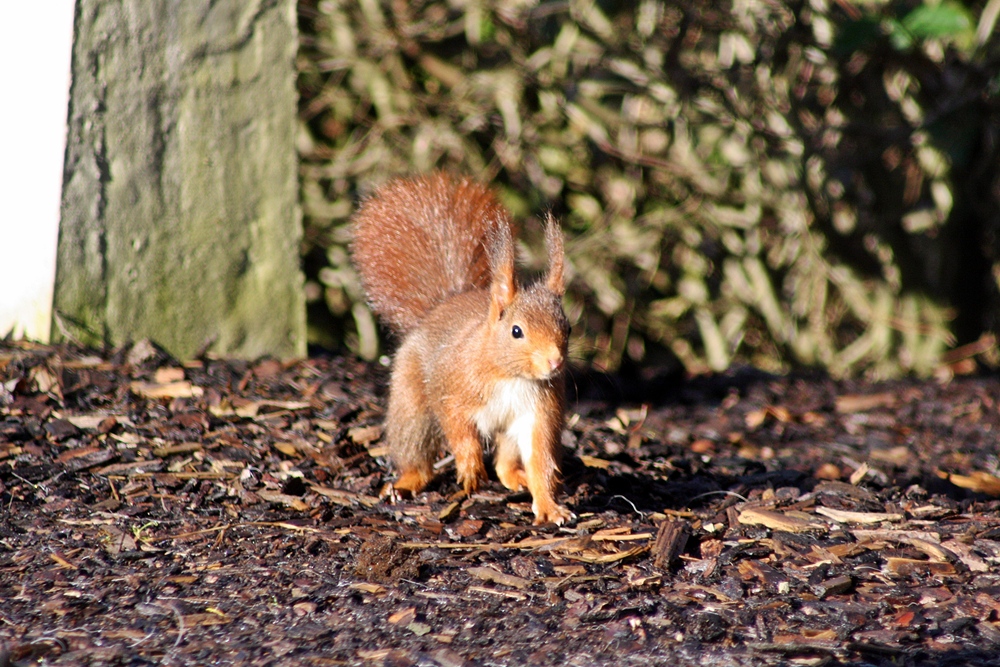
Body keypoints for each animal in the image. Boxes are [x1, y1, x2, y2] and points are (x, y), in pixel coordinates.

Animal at [352, 174, 576, 528]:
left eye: (568, 329)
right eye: (516, 331)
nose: (554, 362)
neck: (511, 376)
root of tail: (442, 306)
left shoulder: (540, 412)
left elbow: (540, 458)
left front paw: (549, 507)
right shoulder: (453, 389)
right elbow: (457, 427)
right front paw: (470, 468)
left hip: (509, 432)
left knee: (505, 463)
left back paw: (518, 477)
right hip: (412, 406)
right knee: (417, 451)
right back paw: (406, 482)